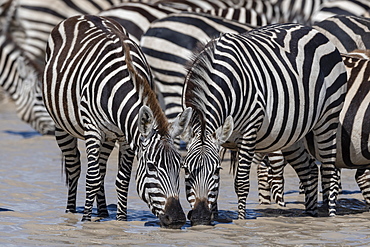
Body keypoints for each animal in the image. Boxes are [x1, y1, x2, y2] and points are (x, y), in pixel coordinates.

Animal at [42, 14, 194, 228]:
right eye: (151, 167)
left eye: (179, 166)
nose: (177, 219)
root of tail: (83, 15)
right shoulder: (93, 130)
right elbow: (91, 178)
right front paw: (86, 221)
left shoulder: (126, 135)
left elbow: (121, 180)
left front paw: (121, 221)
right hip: (61, 126)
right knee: (74, 168)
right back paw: (70, 212)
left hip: (108, 136)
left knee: (101, 170)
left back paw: (103, 213)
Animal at [181, 23, 346, 226]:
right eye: (186, 170)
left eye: (216, 171)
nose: (200, 218)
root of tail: (312, 29)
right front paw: (214, 218)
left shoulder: (249, 130)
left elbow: (241, 183)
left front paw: (241, 222)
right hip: (293, 133)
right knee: (309, 169)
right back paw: (310, 215)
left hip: (329, 117)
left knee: (329, 172)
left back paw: (331, 218)